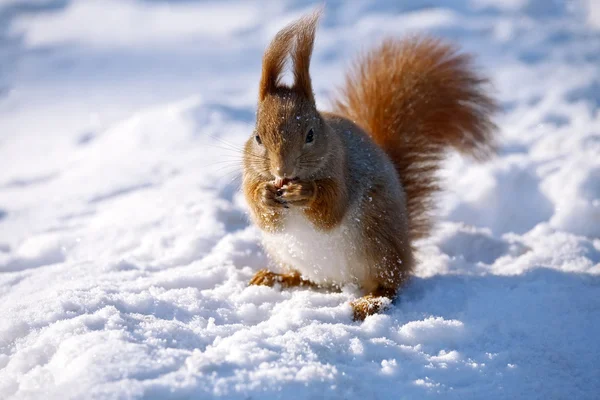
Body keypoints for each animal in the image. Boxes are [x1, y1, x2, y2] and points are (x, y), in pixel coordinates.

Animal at [241, 10, 494, 320]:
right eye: (257, 137)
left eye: (311, 134)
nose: (283, 172)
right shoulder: (249, 174)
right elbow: (262, 213)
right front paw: (264, 195)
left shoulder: (342, 169)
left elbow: (330, 208)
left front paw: (304, 192)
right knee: (304, 278)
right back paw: (275, 277)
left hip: (377, 240)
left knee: (390, 285)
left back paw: (368, 302)